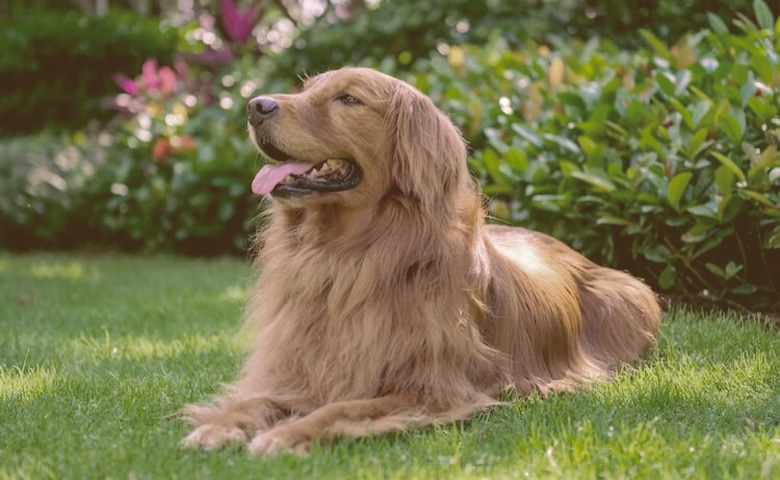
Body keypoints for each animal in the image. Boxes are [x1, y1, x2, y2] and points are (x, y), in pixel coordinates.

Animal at [183, 66, 664, 454]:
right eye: (307, 88)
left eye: (348, 99)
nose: (254, 105)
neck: (345, 257)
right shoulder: (303, 368)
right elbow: (257, 399)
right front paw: (220, 426)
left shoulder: (431, 390)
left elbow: (338, 409)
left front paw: (286, 434)